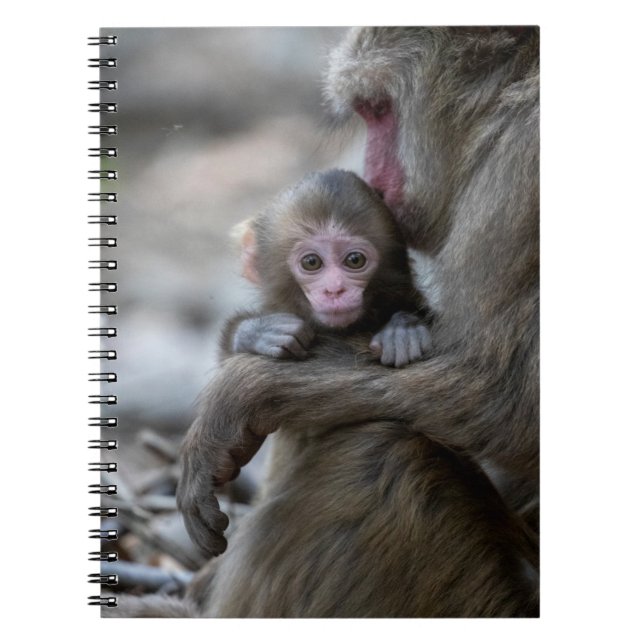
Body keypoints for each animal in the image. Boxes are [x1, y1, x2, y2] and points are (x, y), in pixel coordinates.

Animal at [172, 26, 540, 618]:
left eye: (377, 108)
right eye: (311, 264)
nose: (373, 173)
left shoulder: (525, 163)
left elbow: (506, 401)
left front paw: (240, 392)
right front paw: (258, 337)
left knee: (383, 454)